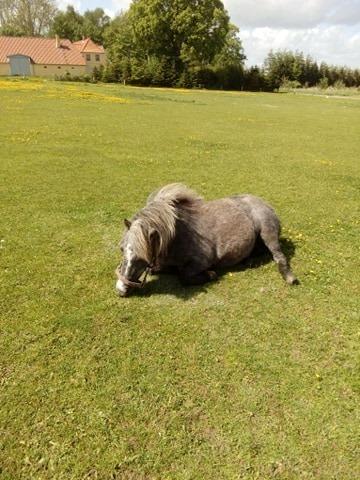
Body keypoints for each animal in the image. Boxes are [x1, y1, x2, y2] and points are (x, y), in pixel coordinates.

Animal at [116, 184, 298, 296]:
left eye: (142, 256)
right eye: (122, 249)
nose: (120, 289)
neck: (178, 236)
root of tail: (264, 203)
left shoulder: (202, 261)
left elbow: (184, 276)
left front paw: (210, 274)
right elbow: (158, 269)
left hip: (268, 232)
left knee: (278, 256)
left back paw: (289, 277)